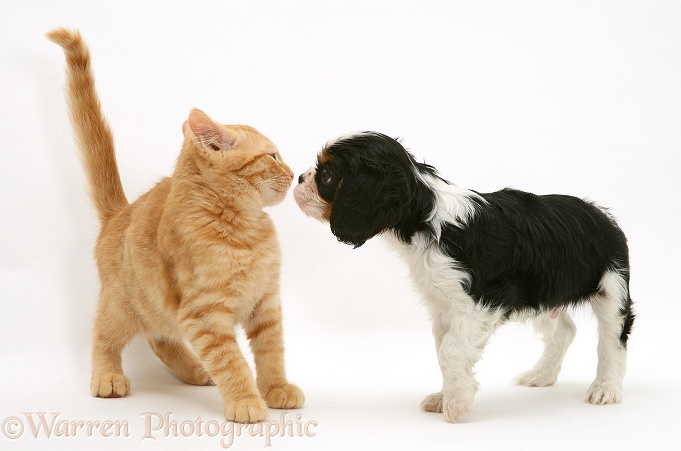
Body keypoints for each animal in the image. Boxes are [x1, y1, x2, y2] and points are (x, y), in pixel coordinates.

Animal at [47, 28, 302, 424]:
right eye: (272, 156)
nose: (292, 173)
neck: (244, 228)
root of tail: (119, 213)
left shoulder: (266, 302)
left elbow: (271, 350)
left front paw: (276, 388)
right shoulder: (204, 312)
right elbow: (231, 360)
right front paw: (245, 399)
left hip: (157, 304)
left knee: (161, 338)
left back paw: (195, 369)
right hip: (123, 303)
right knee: (104, 335)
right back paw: (107, 376)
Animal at [292, 132, 632, 426]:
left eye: (327, 174)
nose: (299, 178)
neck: (427, 218)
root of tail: (602, 214)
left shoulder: (481, 302)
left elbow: (450, 351)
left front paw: (456, 405)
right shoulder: (444, 306)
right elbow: (445, 350)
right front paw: (445, 396)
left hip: (611, 287)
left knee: (612, 338)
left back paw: (605, 388)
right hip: (542, 294)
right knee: (564, 330)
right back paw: (541, 376)